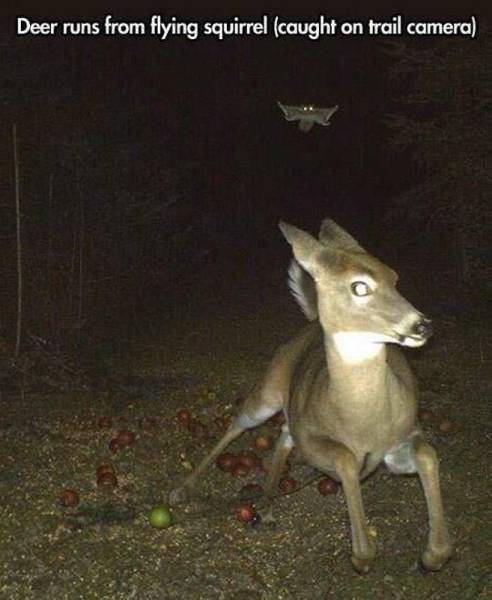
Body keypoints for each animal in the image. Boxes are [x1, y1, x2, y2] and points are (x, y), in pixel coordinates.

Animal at [170, 219, 454, 572]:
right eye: (359, 287)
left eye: (394, 277)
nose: (422, 326)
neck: (361, 422)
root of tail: (312, 323)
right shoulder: (313, 440)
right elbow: (346, 459)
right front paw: (362, 555)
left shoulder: (400, 437)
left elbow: (427, 453)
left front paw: (432, 555)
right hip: (269, 389)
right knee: (239, 425)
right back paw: (182, 490)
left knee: (282, 433)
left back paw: (266, 504)